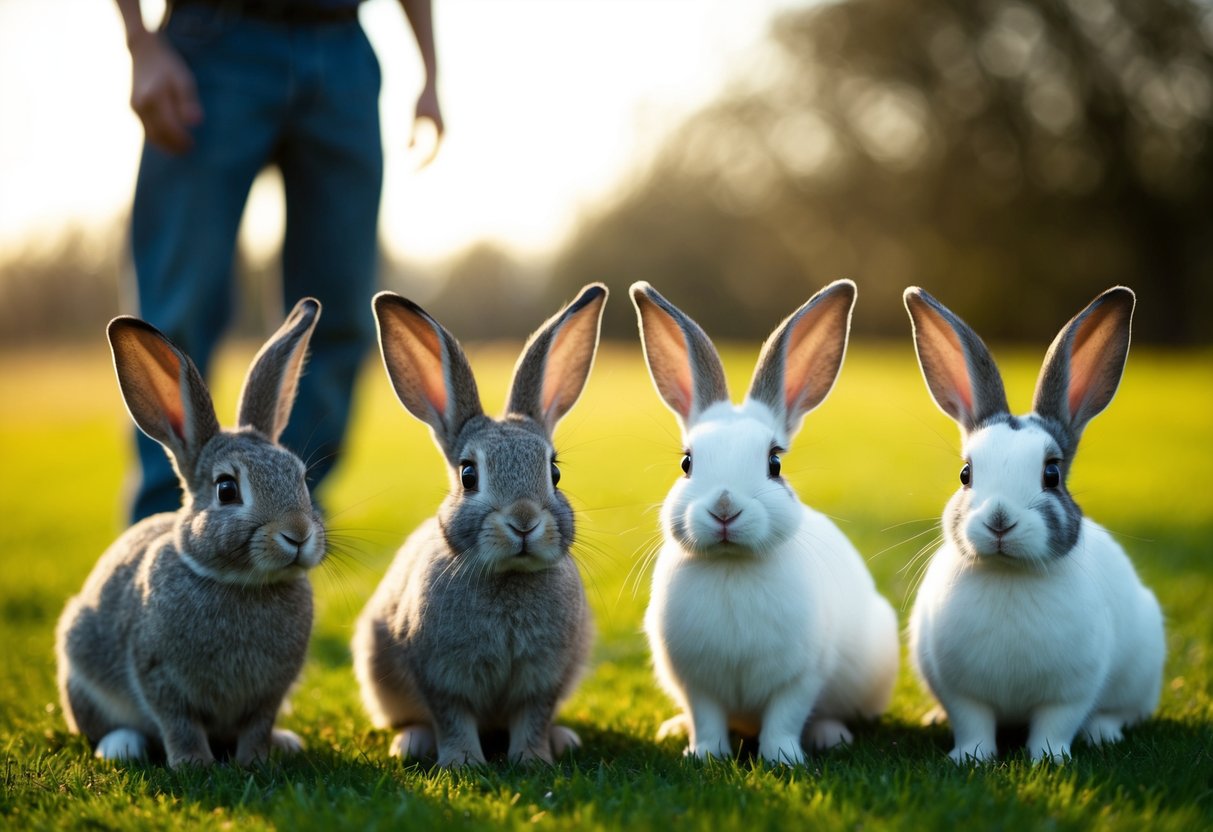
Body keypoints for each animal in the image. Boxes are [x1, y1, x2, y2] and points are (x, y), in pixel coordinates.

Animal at [54, 298, 327, 768]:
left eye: (302, 478)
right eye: (226, 489)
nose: (297, 534)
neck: (241, 584)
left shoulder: (269, 695)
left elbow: (258, 726)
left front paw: (255, 760)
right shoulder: (159, 677)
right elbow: (178, 723)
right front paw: (193, 764)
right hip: (80, 667)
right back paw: (121, 747)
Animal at [351, 284, 607, 767]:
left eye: (554, 472)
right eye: (469, 475)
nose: (524, 521)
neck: (509, 578)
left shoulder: (544, 678)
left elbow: (533, 718)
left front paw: (533, 760)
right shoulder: (441, 676)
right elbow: (452, 719)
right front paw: (463, 763)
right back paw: (412, 743)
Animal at [630, 280, 899, 766]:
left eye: (774, 463)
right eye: (686, 463)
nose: (724, 507)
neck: (732, 565)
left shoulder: (800, 677)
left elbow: (784, 718)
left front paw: (784, 759)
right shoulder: (697, 683)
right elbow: (707, 720)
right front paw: (703, 755)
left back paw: (830, 736)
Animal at [903, 286, 1165, 764]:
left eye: (1052, 474)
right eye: (966, 474)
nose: (999, 520)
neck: (1010, 575)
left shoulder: (1069, 694)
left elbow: (1054, 726)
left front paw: (1049, 760)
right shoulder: (962, 694)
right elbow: (973, 726)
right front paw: (969, 758)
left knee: (1118, 712)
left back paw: (1104, 733)